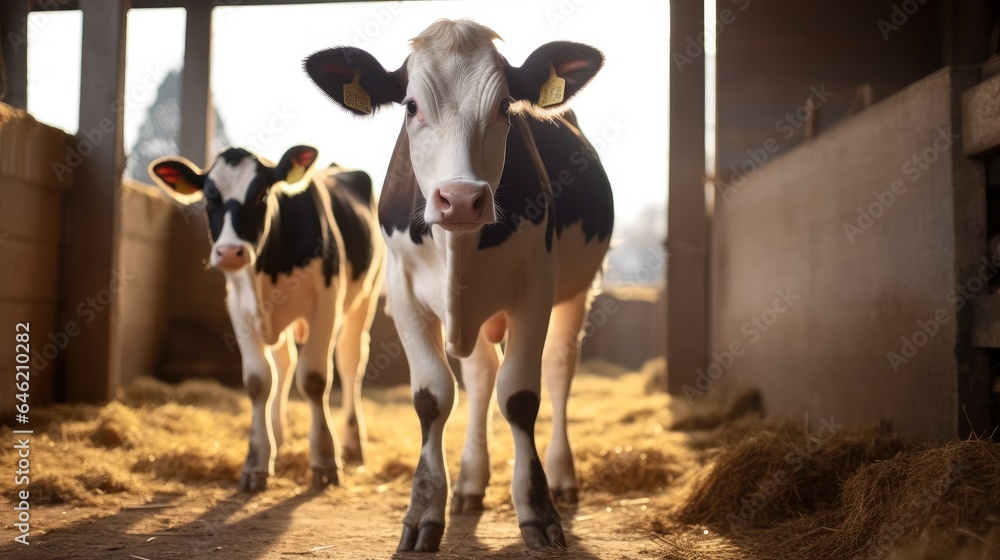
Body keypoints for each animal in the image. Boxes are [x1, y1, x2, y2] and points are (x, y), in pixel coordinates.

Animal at [150, 144, 384, 490]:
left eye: (262, 195)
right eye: (210, 197)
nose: (230, 252)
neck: (268, 267)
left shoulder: (325, 304)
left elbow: (314, 379)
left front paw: (325, 461)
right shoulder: (239, 308)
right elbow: (260, 381)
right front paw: (256, 462)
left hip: (364, 299)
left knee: (349, 362)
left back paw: (353, 444)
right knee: (284, 364)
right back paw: (280, 434)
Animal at [304, 18, 612, 552]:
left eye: (505, 106)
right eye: (410, 105)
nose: (462, 199)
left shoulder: (537, 286)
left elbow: (520, 395)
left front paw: (538, 510)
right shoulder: (403, 293)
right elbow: (433, 396)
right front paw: (425, 512)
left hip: (576, 290)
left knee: (557, 370)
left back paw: (562, 477)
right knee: (481, 374)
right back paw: (470, 483)